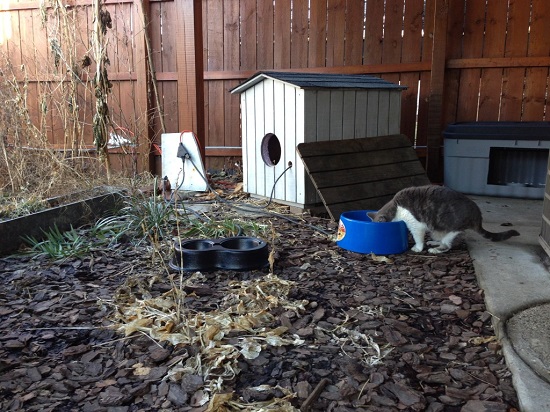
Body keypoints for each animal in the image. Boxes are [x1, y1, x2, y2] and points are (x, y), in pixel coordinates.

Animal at [368, 185, 520, 253]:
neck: (396, 207)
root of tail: (478, 216)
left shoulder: (416, 224)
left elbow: (418, 237)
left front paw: (418, 248)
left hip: (453, 226)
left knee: (447, 245)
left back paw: (436, 249)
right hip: (439, 229)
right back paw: (434, 242)